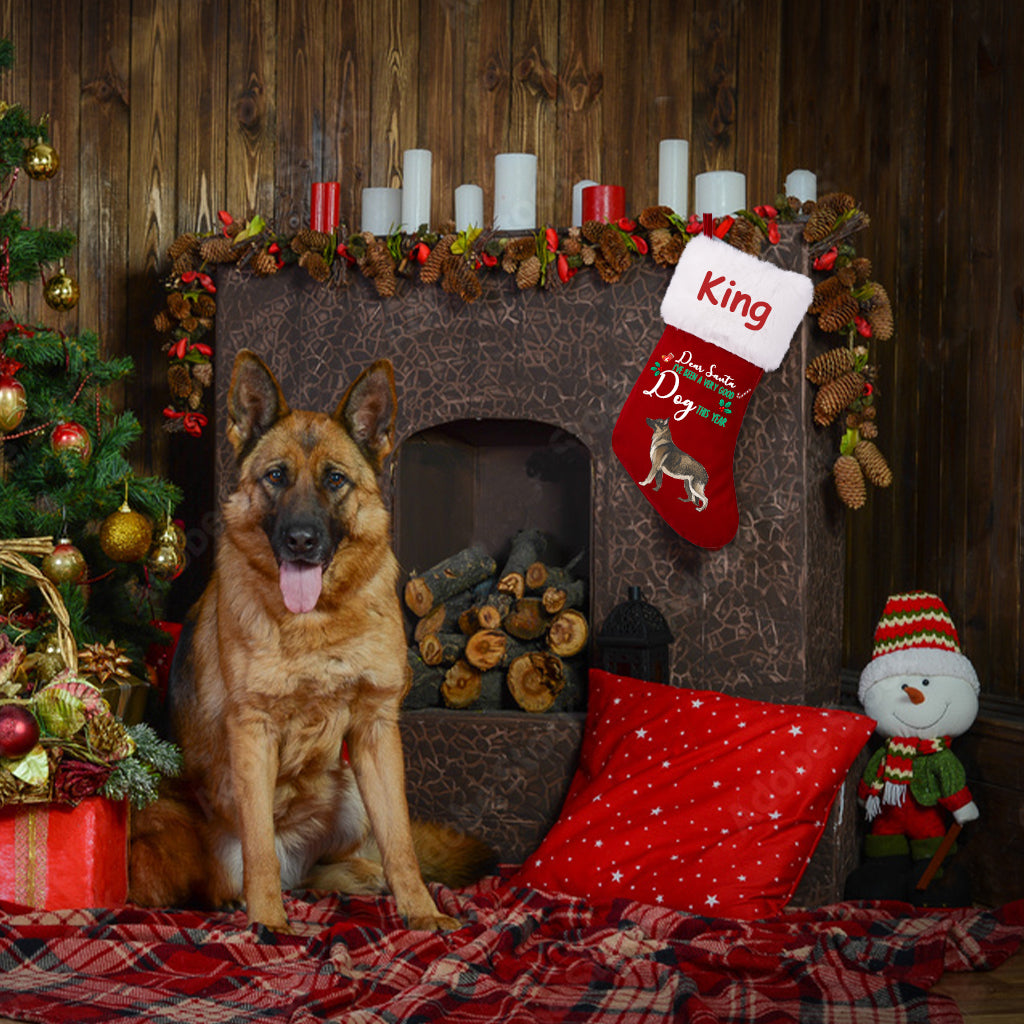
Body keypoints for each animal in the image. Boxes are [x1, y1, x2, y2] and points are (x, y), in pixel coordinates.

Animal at [128, 352, 491, 937]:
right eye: (276, 476)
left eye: (335, 480)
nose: (301, 539)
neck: (318, 620)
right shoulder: (252, 732)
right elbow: (257, 847)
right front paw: (269, 921)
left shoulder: (376, 729)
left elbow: (401, 843)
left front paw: (421, 909)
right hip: (159, 823)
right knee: (231, 871)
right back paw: (240, 898)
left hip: (351, 791)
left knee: (331, 867)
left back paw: (361, 877)